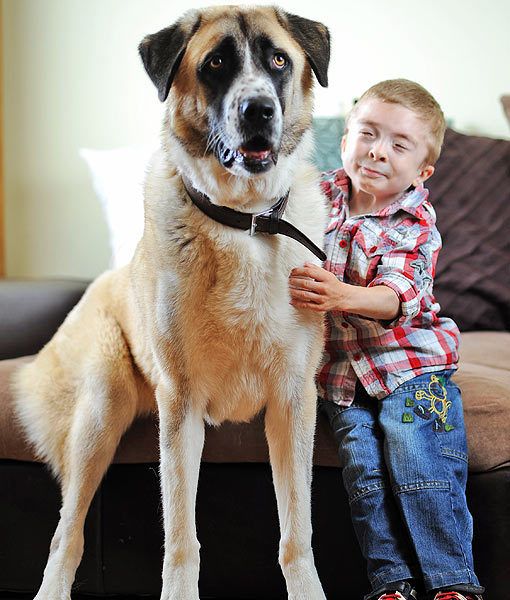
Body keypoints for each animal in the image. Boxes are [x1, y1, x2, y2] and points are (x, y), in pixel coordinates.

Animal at [12, 5, 330, 600]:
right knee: (67, 530)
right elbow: (181, 536)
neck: (244, 221)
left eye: (278, 60)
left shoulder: (293, 403)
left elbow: (296, 532)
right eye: (216, 64)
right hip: (102, 408)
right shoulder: (180, 408)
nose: (258, 109)